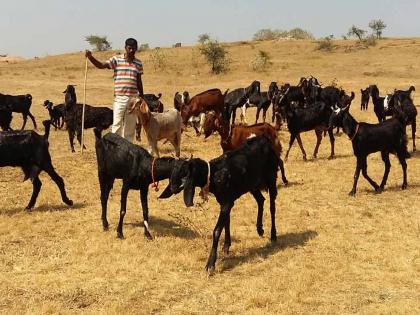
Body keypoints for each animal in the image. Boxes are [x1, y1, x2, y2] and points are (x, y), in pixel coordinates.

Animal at [159, 136, 280, 274]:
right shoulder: (225, 202)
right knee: (261, 200)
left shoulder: (227, 202)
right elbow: (226, 222)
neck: (214, 175)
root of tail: (264, 140)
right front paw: (226, 246)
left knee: (272, 207)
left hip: (271, 179)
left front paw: (210, 264)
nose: (173, 188)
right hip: (252, 184)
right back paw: (259, 229)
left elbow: (217, 230)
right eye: (172, 172)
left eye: (184, 173)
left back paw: (273, 235)